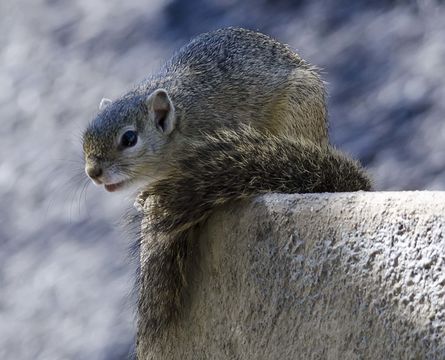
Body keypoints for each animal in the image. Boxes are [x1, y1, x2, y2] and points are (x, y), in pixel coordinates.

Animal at [82, 28, 372, 354]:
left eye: (129, 138)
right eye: (86, 137)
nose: (93, 172)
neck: (182, 121)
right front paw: (144, 197)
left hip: (298, 110)